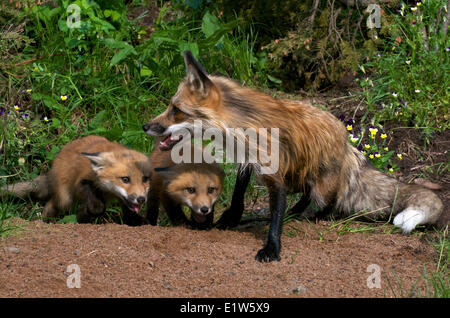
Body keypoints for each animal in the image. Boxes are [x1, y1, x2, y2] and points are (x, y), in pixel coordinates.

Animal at [0, 135, 153, 225]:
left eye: (145, 179)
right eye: (125, 179)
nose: (141, 199)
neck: (107, 190)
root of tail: (51, 170)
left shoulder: (123, 200)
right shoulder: (81, 182)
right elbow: (96, 208)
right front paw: (83, 214)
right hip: (65, 199)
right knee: (50, 205)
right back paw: (46, 222)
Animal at [143, 51, 442, 262]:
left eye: (176, 110)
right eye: (170, 106)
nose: (146, 126)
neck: (239, 127)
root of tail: (348, 146)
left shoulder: (273, 170)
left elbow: (276, 213)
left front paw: (272, 248)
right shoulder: (247, 160)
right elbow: (239, 193)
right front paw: (230, 219)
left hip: (322, 184)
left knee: (329, 202)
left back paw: (313, 216)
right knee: (306, 197)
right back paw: (294, 213)